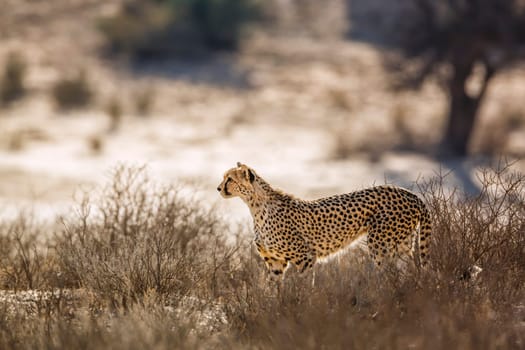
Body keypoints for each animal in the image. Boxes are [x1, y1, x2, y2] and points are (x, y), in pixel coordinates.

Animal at [216, 163, 430, 278]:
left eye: (230, 179)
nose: (218, 188)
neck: (256, 206)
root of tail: (410, 193)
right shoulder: (276, 262)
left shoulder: (305, 257)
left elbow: (303, 288)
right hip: (402, 244)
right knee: (409, 271)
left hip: (380, 245)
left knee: (389, 273)